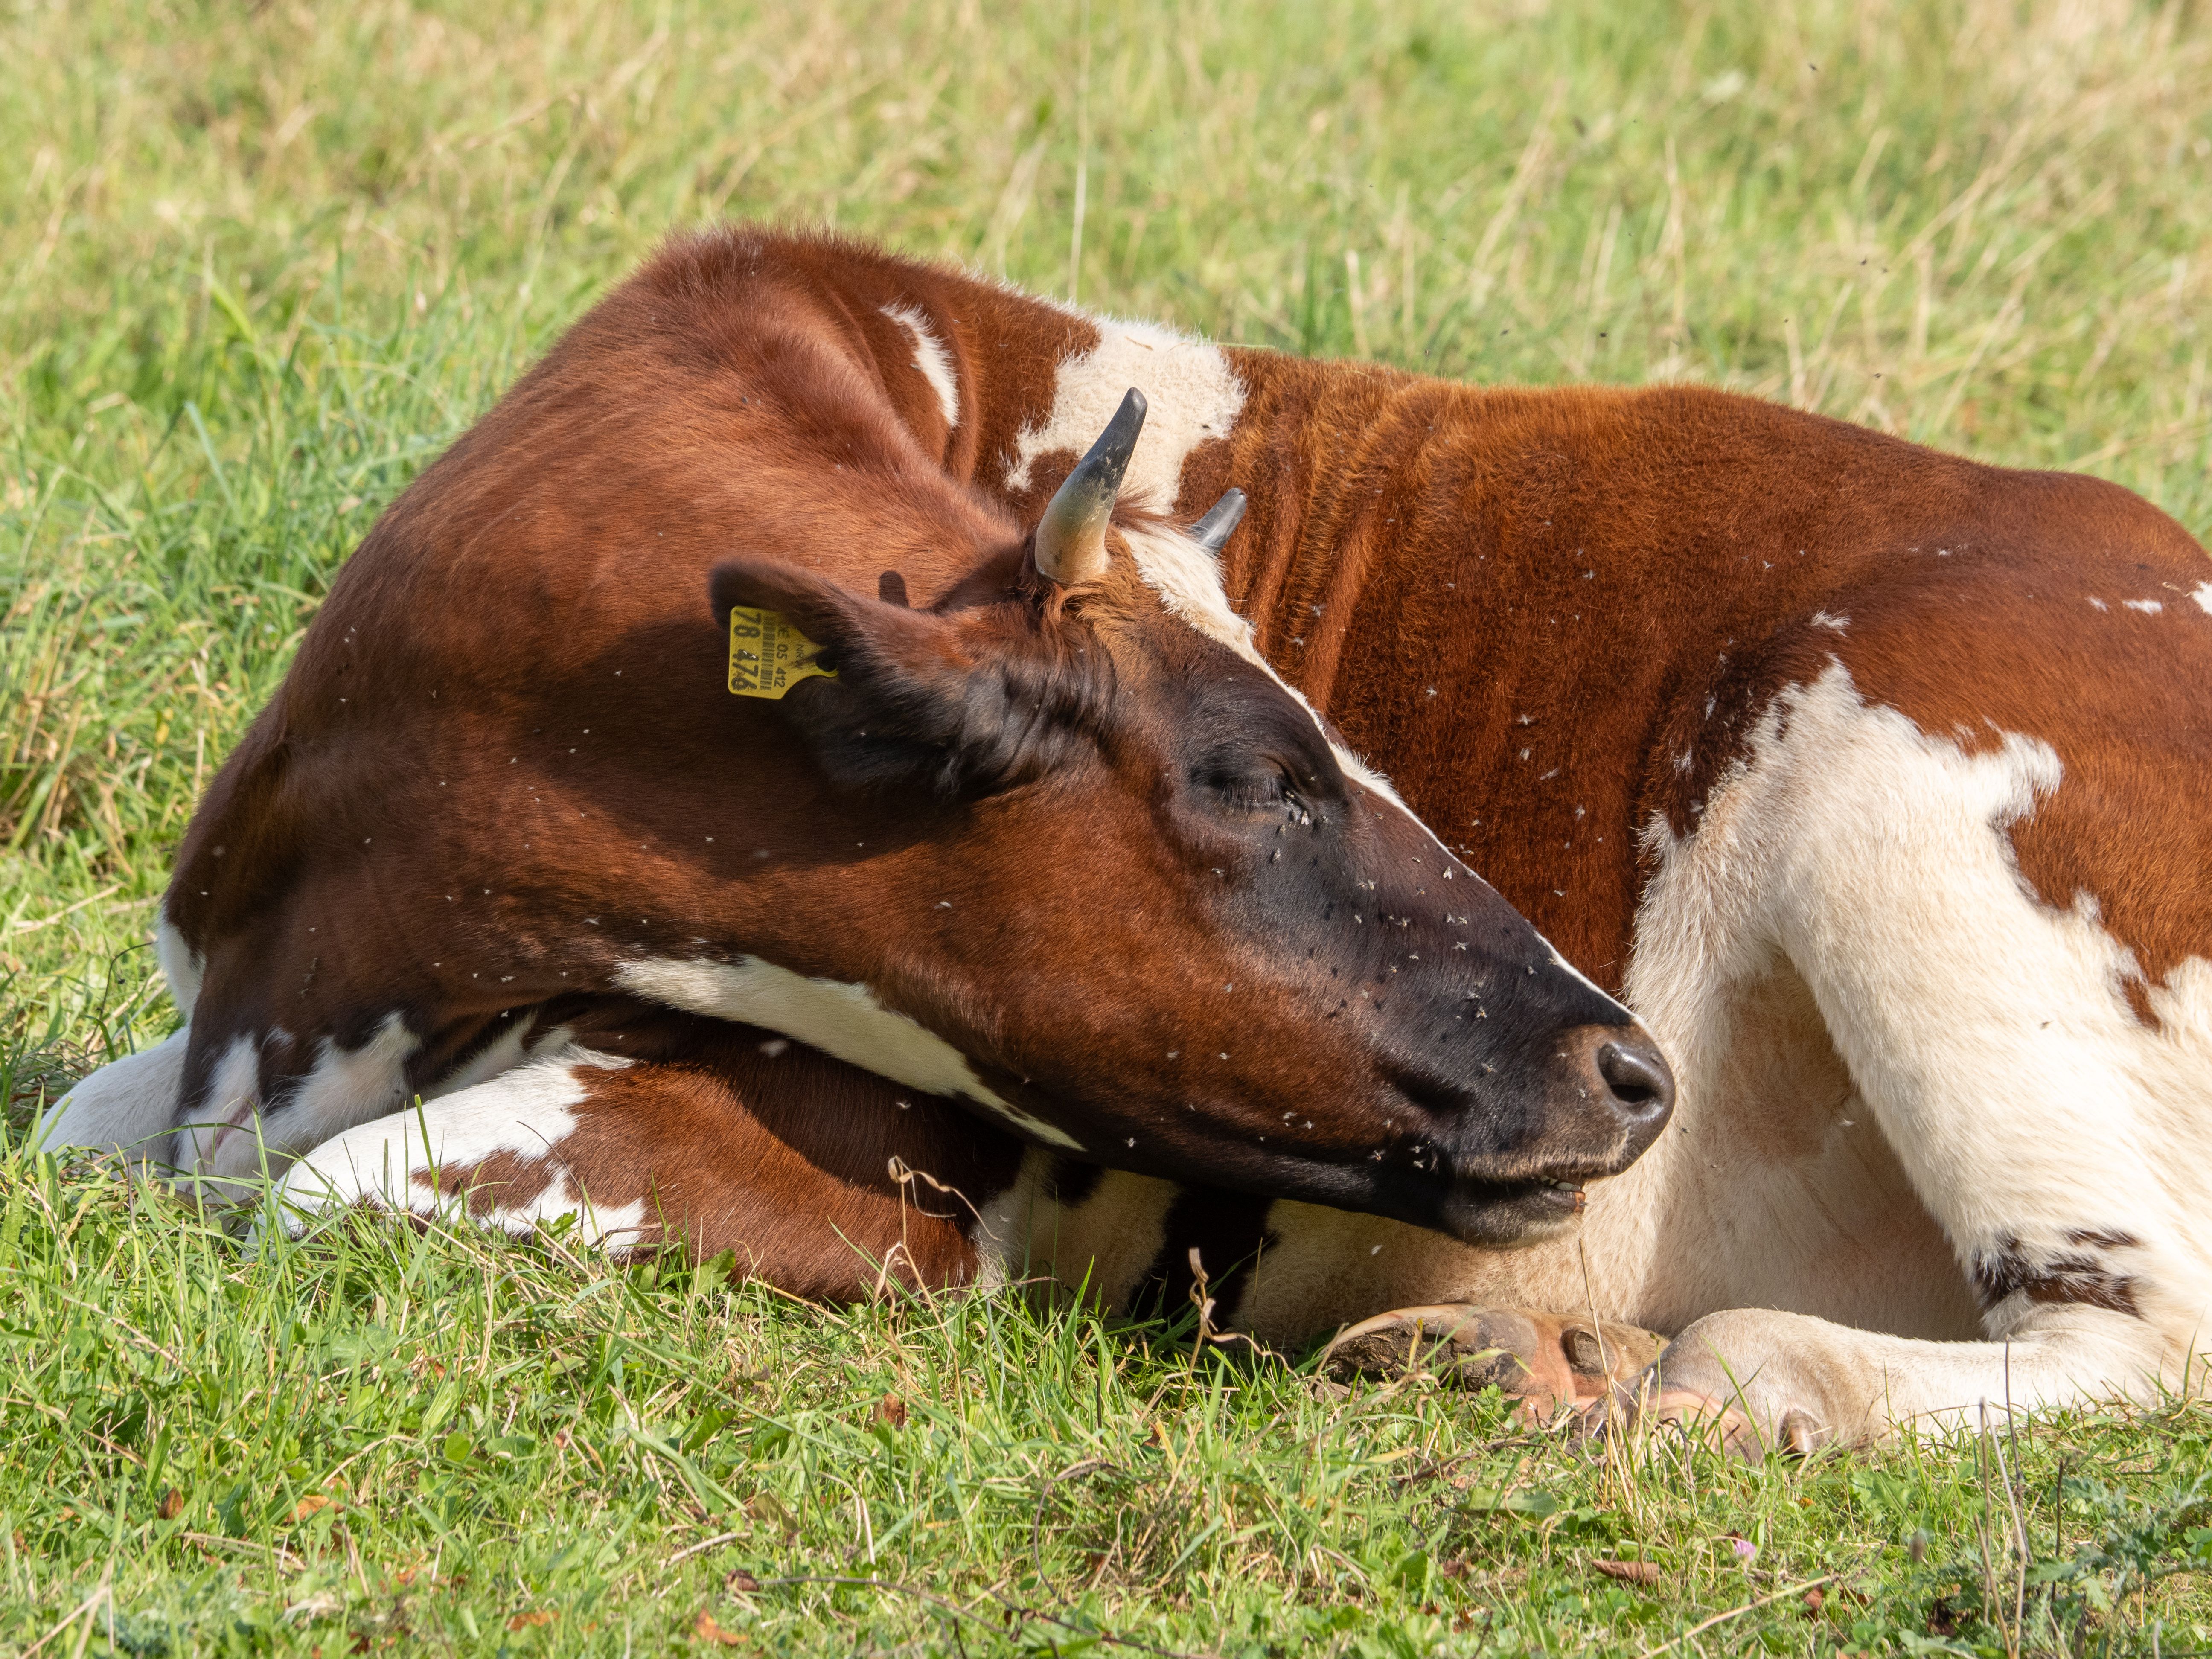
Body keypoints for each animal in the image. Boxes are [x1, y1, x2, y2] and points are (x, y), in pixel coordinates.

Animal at [44, 226, 2212, 1452]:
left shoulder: (899, 1160)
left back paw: (1731, 1378)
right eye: (1259, 772)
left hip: (1908, 815)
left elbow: (339, 1195)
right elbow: (73, 1130)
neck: (316, 983)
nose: (1625, 1067)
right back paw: (1490, 1362)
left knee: (2140, 1330)